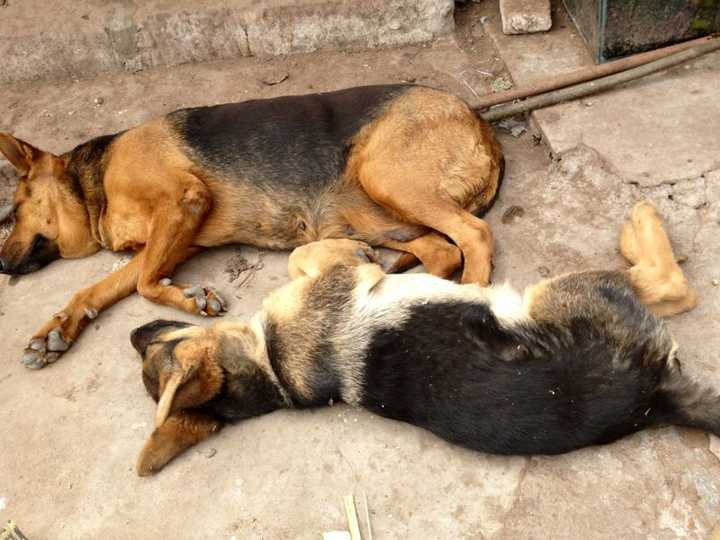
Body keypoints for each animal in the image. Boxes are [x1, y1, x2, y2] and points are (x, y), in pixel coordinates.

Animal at [0, 84, 504, 370]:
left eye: (16, 208)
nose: (2, 264)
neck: (95, 181)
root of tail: (479, 121)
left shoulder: (183, 202)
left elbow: (144, 283)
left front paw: (190, 297)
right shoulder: (176, 238)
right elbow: (97, 290)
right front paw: (56, 330)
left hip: (385, 179)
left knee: (473, 236)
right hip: (375, 214)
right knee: (443, 251)